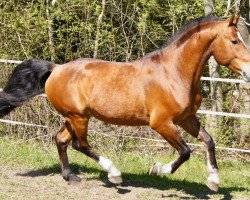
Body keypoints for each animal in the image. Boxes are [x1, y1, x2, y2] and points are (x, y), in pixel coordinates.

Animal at [0, 15, 250, 191]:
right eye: (234, 41)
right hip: (78, 117)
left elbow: (209, 141)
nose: (248, 72)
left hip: (75, 117)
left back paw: (71, 177)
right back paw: (114, 174)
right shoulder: (161, 123)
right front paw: (157, 169)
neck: (174, 73)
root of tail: (56, 69)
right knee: (80, 144)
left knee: (61, 140)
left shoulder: (186, 118)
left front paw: (214, 181)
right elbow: (186, 151)